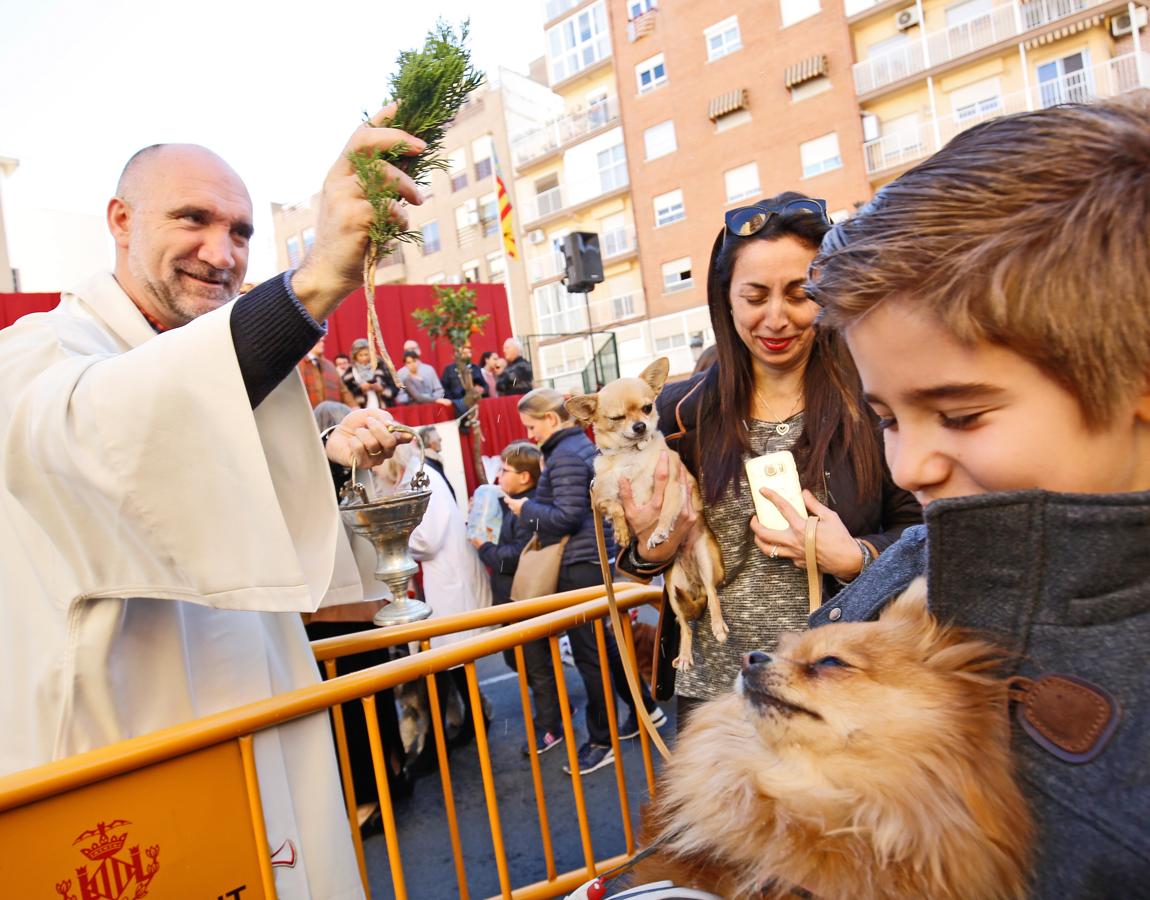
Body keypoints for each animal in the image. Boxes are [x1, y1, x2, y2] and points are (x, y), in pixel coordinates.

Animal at [568, 356, 726, 666]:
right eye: (617, 418)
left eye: (647, 407)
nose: (640, 426)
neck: (631, 456)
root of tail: (696, 583)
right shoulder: (601, 497)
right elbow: (617, 508)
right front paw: (622, 533)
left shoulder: (674, 486)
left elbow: (664, 512)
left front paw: (660, 531)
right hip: (675, 591)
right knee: (685, 625)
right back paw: (685, 655)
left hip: (705, 560)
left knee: (713, 596)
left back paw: (718, 626)